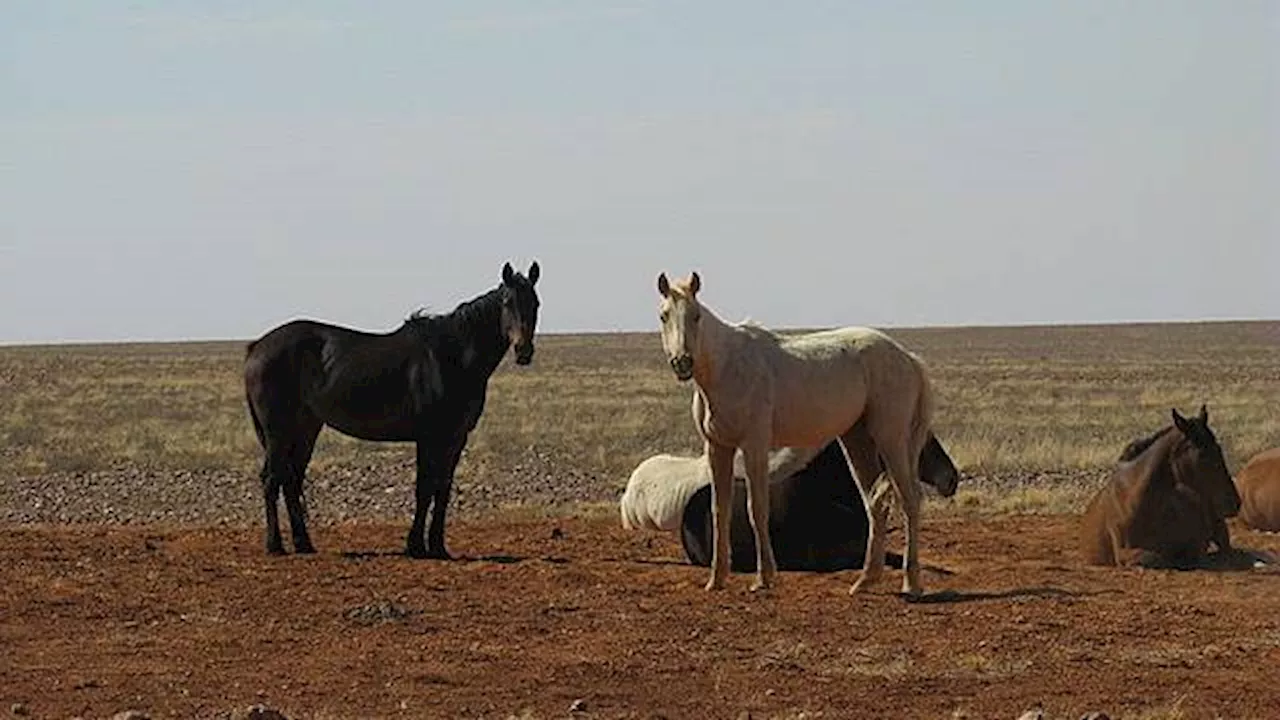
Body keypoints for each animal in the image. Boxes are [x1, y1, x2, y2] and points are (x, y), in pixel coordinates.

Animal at [243, 258, 540, 556]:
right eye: (507, 302)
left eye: (535, 303)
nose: (523, 351)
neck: (451, 358)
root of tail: (256, 347)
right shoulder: (429, 436)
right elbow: (424, 488)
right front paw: (416, 546)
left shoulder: (455, 438)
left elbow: (442, 489)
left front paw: (438, 546)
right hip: (277, 431)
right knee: (271, 479)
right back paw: (275, 545)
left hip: (306, 428)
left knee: (291, 479)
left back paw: (304, 544)